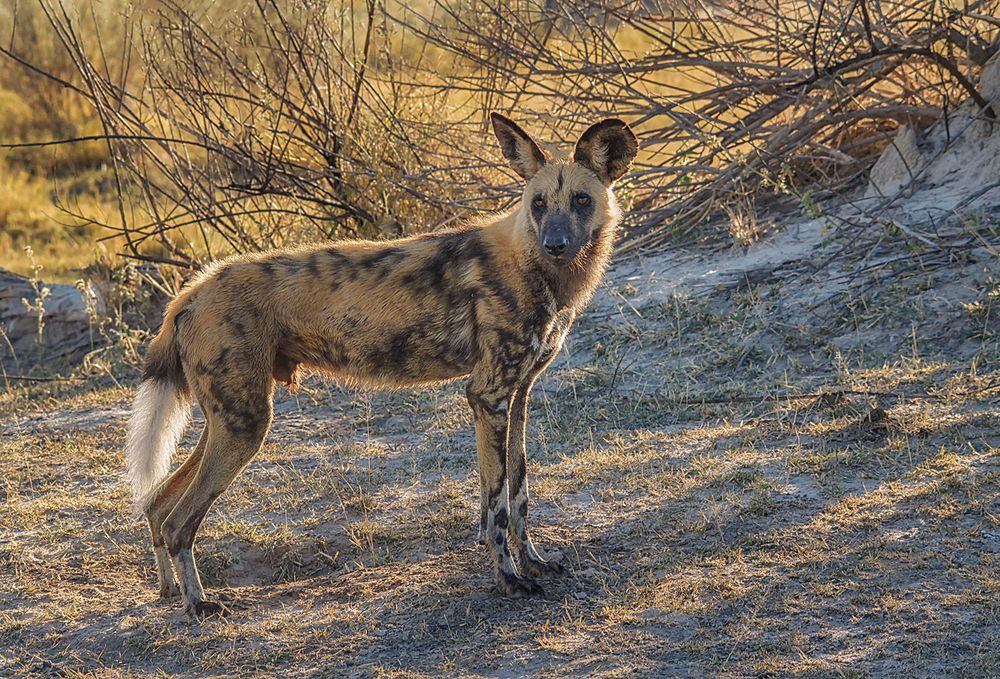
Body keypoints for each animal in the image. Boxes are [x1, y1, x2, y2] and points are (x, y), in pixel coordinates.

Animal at [127, 113, 640, 616]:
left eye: (580, 201)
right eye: (538, 204)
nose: (555, 244)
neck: (536, 269)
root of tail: (192, 290)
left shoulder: (517, 397)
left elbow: (519, 494)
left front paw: (533, 562)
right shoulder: (486, 396)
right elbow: (495, 504)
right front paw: (509, 579)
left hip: (229, 422)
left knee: (157, 506)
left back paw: (169, 591)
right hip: (246, 425)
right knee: (178, 523)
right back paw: (198, 604)